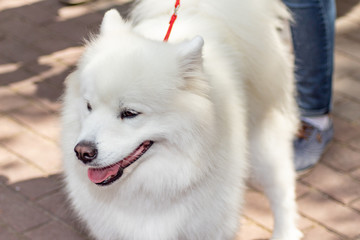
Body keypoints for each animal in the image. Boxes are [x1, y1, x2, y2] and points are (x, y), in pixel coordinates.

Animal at [61, 0, 300, 240]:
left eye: (129, 113)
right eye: (89, 106)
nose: (82, 152)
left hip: (264, 146)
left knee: (282, 190)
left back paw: (285, 232)